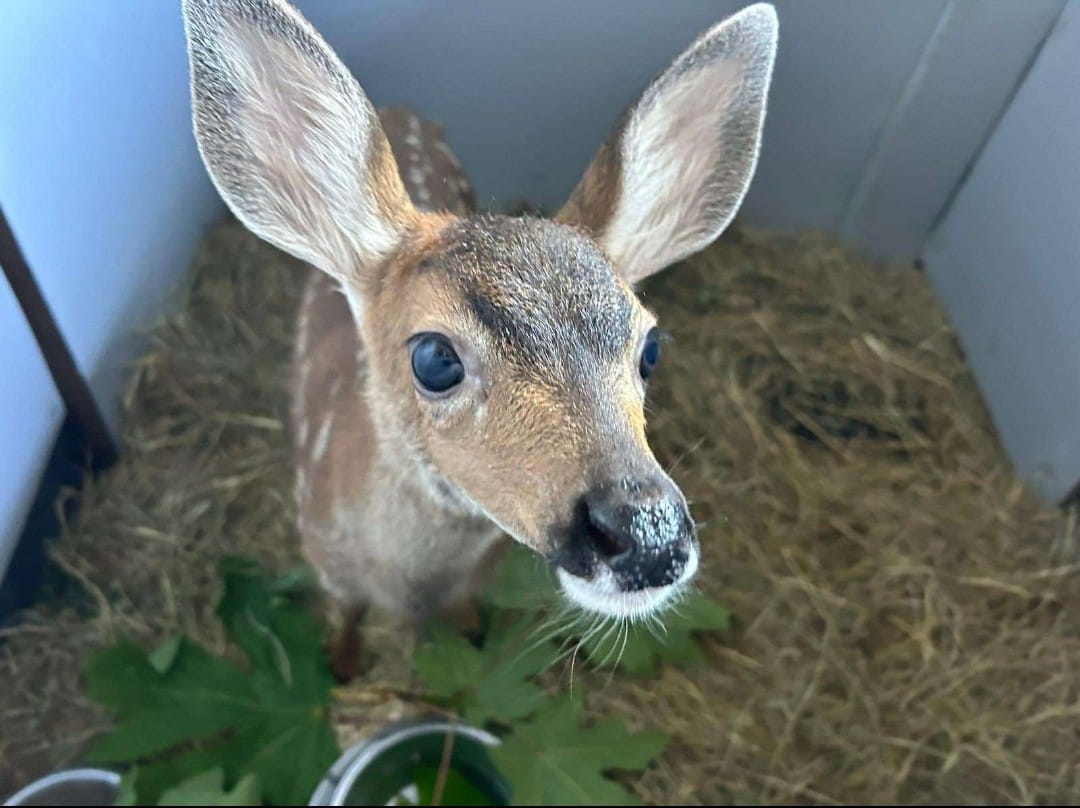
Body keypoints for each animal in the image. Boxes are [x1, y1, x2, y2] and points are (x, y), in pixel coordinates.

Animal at [183, 0, 777, 678]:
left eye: (649, 348)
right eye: (435, 358)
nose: (647, 533)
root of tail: (402, 109)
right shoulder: (327, 560)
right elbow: (347, 619)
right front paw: (341, 669)